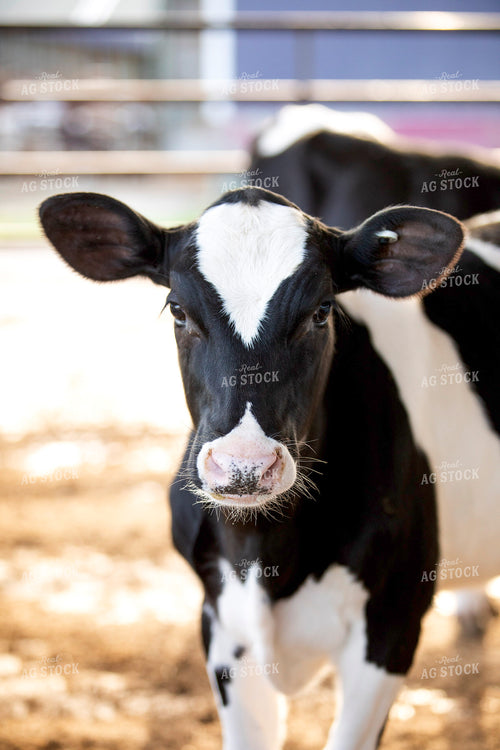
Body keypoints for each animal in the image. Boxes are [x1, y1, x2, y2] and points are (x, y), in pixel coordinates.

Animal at [39, 187, 500, 750]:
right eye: (178, 309)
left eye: (322, 311)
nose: (244, 465)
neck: (266, 555)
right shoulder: (220, 621)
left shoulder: (394, 618)